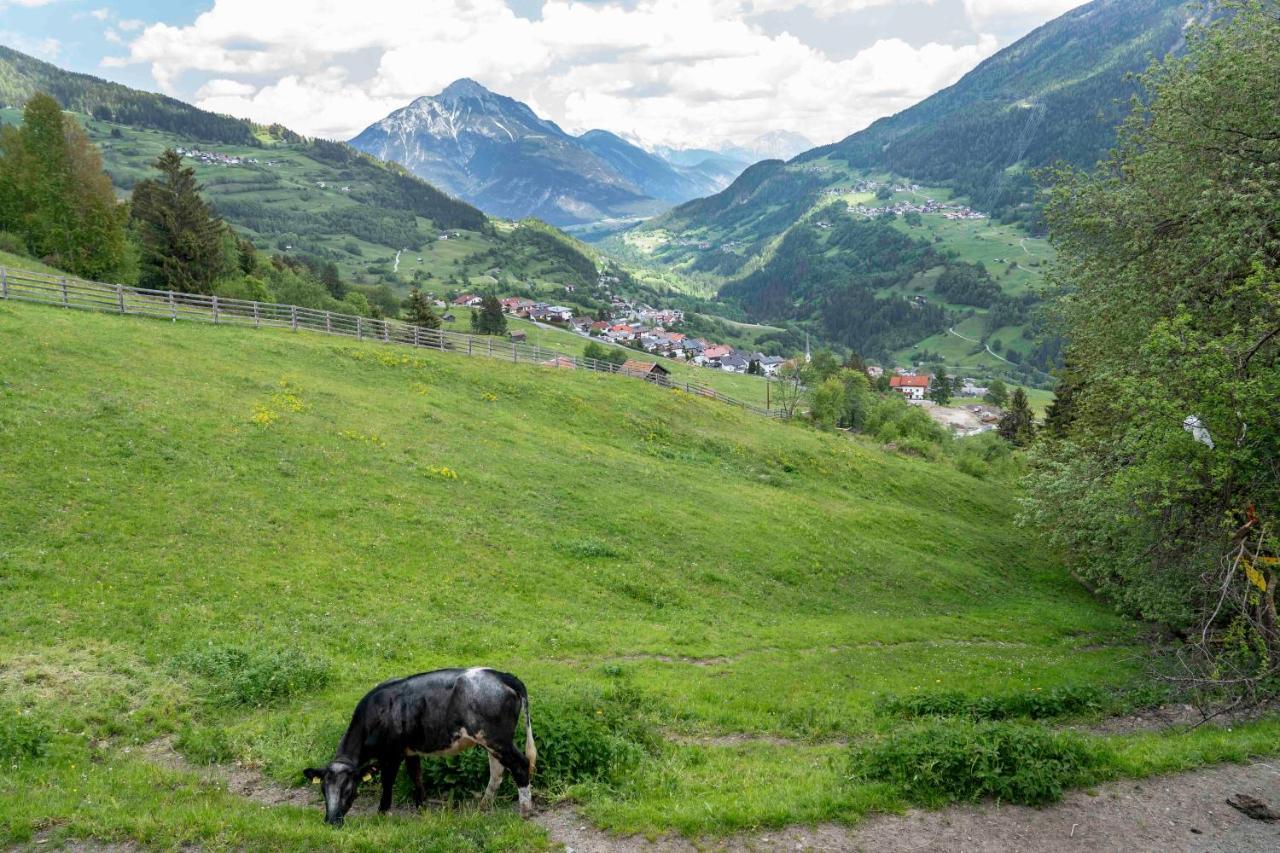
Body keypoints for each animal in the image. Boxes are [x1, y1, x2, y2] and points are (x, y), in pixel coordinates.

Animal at [303, 666, 535, 824]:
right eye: (323, 789)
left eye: (349, 789)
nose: (331, 821)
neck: (375, 713)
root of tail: (500, 674)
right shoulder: (410, 750)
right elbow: (416, 776)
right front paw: (422, 807)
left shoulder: (392, 753)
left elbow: (388, 782)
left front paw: (382, 813)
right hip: (490, 741)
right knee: (497, 770)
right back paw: (483, 806)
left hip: (497, 739)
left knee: (520, 765)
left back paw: (524, 812)